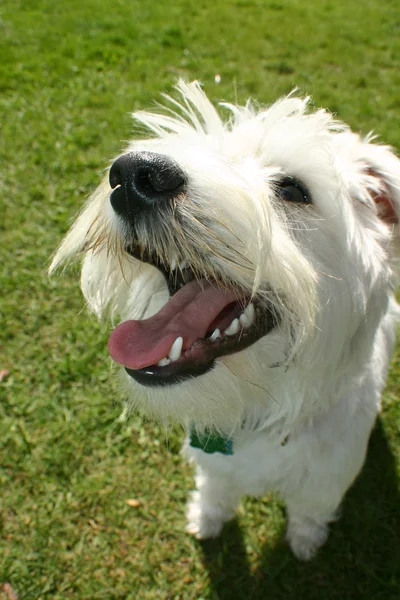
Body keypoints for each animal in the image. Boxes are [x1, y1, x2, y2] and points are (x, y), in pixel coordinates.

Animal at [50, 82, 400, 560]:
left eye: (294, 190)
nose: (135, 175)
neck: (266, 410)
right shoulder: (216, 464)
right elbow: (216, 491)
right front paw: (206, 520)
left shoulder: (325, 480)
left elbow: (309, 511)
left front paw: (305, 542)